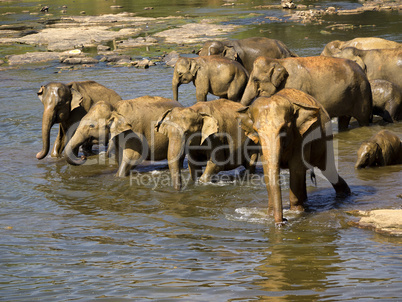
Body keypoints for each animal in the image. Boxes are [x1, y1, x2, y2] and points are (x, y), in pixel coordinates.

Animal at [237, 88, 350, 225]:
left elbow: (296, 168)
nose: (283, 221)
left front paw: (296, 212)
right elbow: (267, 169)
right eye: (256, 131)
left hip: (326, 135)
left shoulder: (301, 135)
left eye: (284, 129)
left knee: (328, 171)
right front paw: (270, 215)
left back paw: (346, 194)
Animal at [239, 55, 374, 131]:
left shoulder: (295, 85)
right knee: (344, 120)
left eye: (255, 79)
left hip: (362, 94)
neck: (279, 61)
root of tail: (364, 73)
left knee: (363, 120)